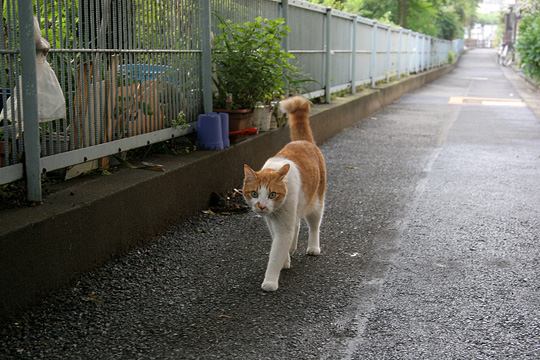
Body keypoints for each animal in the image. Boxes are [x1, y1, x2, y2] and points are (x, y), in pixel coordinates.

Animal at [244, 96, 326, 292]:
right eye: (254, 194)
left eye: (272, 194)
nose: (261, 206)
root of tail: (304, 141)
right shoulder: (272, 222)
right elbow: (279, 242)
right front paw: (285, 260)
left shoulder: (283, 225)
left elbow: (276, 252)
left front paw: (270, 281)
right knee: (296, 224)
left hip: (316, 204)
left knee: (314, 226)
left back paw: (313, 247)